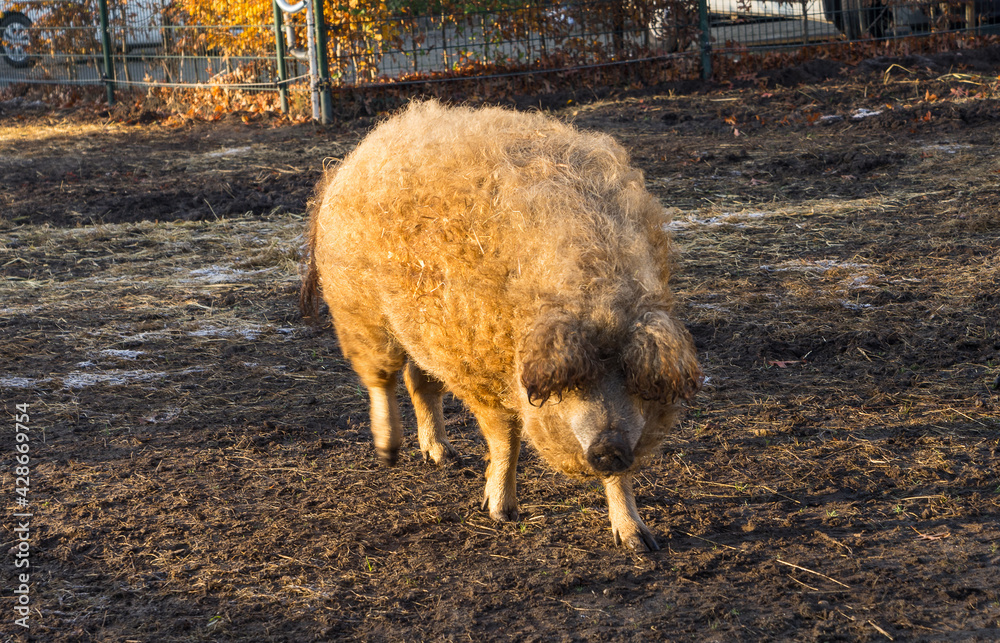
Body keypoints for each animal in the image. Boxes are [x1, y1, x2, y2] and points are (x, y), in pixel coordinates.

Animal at [300, 100, 702, 551]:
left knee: (419, 383)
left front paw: (640, 542)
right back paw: (389, 454)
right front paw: (501, 514)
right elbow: (504, 439)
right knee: (380, 378)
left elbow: (620, 478)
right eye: (578, 382)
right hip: (359, 310)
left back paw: (442, 456)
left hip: (428, 328)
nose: (609, 447)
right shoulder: (482, 367)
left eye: (632, 379)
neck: (597, 297)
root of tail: (352, 158)